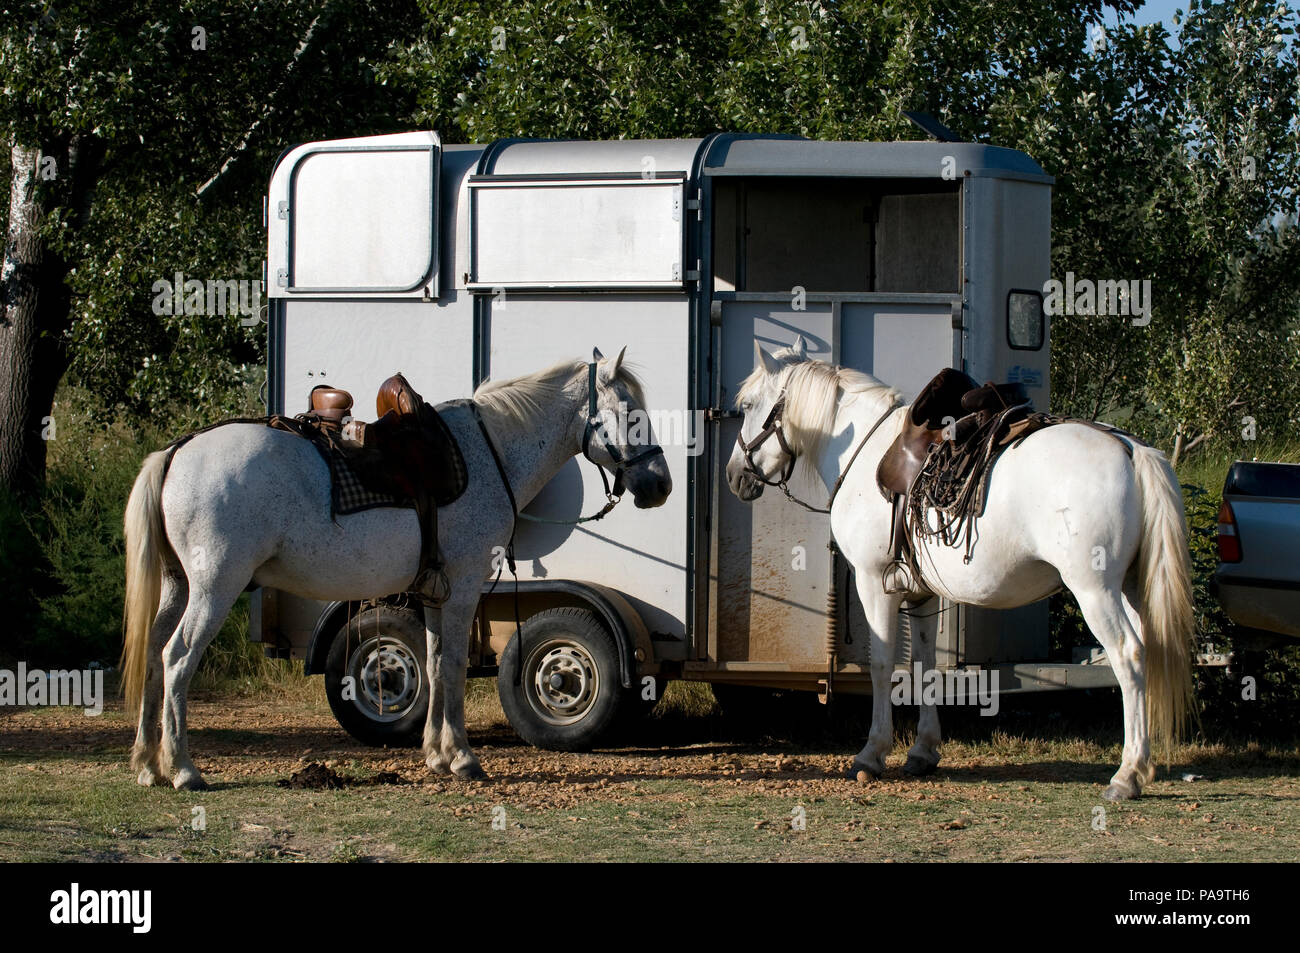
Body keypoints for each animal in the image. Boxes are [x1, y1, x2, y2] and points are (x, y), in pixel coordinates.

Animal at [121, 348, 671, 789]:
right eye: (632, 414)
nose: (659, 485)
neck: (490, 452)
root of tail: (177, 451)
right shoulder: (465, 588)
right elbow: (452, 667)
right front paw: (464, 759)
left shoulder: (433, 593)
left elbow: (433, 662)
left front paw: (436, 755)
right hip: (215, 588)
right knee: (176, 659)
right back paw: (183, 769)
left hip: (178, 587)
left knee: (152, 654)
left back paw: (148, 765)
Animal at [725, 338, 1194, 800]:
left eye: (747, 405)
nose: (734, 476)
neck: (864, 451)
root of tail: (1132, 450)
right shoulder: (921, 593)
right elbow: (925, 665)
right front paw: (923, 751)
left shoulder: (874, 582)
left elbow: (883, 664)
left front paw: (872, 754)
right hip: (1130, 589)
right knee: (1147, 653)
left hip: (1095, 590)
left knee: (1128, 655)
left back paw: (1128, 774)